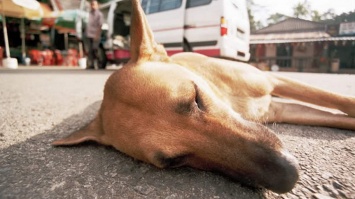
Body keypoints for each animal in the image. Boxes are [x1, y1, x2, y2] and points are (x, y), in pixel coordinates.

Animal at [52, 0, 355, 194]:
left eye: (194, 97)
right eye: (175, 161)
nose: (289, 176)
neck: (232, 99)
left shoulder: (275, 80)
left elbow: (340, 101)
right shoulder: (279, 110)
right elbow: (338, 117)